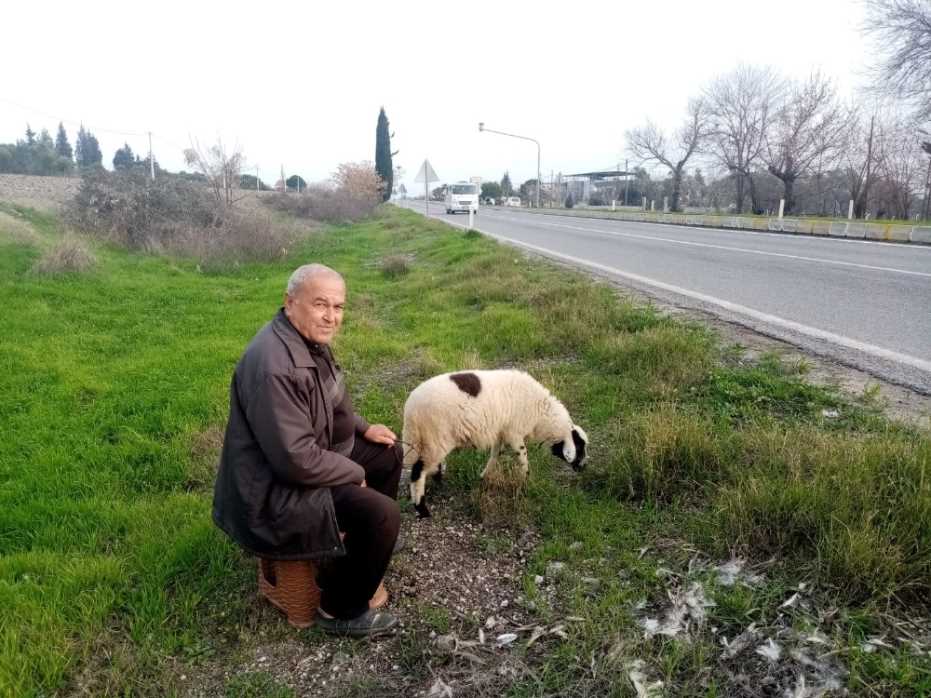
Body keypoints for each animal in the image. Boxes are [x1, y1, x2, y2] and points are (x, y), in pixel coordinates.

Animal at [402, 370, 588, 516]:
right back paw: (421, 508)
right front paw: (525, 482)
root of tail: (411, 409)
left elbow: (494, 455)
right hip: (435, 438)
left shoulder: (501, 433)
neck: (541, 415)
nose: (584, 467)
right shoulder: (514, 433)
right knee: (418, 472)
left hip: (427, 439)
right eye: (580, 447)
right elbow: (523, 457)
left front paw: (484, 476)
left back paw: (439, 480)